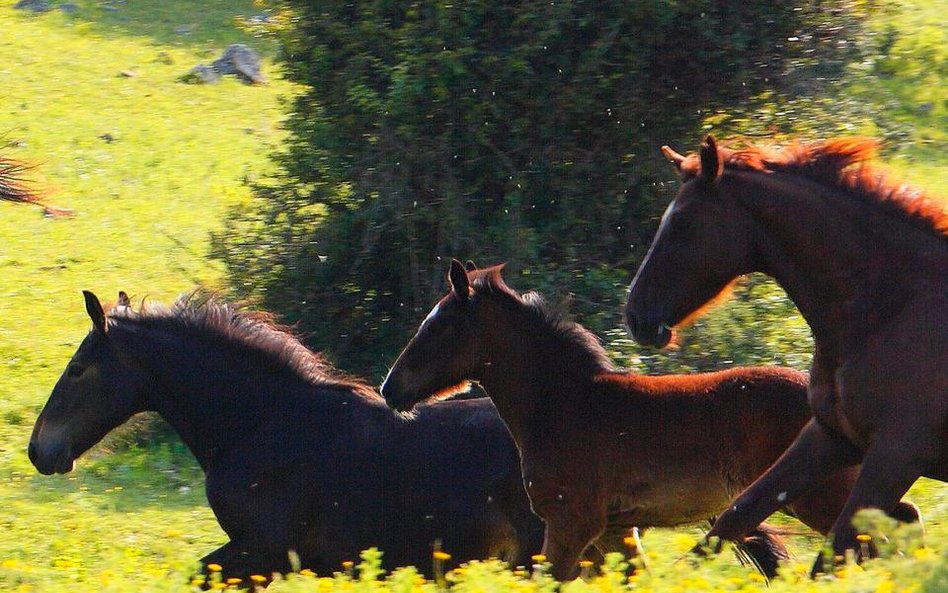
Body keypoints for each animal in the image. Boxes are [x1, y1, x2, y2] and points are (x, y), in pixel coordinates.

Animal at [380, 262, 920, 580]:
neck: (563, 405)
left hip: (815, 492)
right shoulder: (614, 530)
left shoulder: (571, 522)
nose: (390, 388)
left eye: (442, 325)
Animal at [624, 136, 944, 572]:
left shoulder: (896, 454)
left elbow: (832, 554)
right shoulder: (829, 437)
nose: (635, 316)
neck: (890, 311)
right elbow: (733, 518)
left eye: (683, 223)